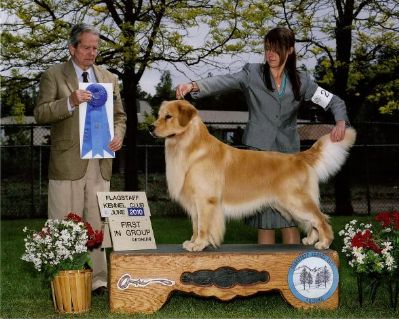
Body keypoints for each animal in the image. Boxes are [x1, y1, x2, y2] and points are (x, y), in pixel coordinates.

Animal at [150, 100, 356, 252]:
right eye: (159, 115)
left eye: (168, 116)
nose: (151, 128)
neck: (189, 146)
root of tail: (298, 157)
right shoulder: (195, 202)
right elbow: (196, 224)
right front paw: (192, 242)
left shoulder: (205, 200)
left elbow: (202, 226)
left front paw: (199, 244)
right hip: (288, 205)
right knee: (311, 221)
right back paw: (311, 240)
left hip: (296, 201)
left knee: (320, 218)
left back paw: (324, 242)